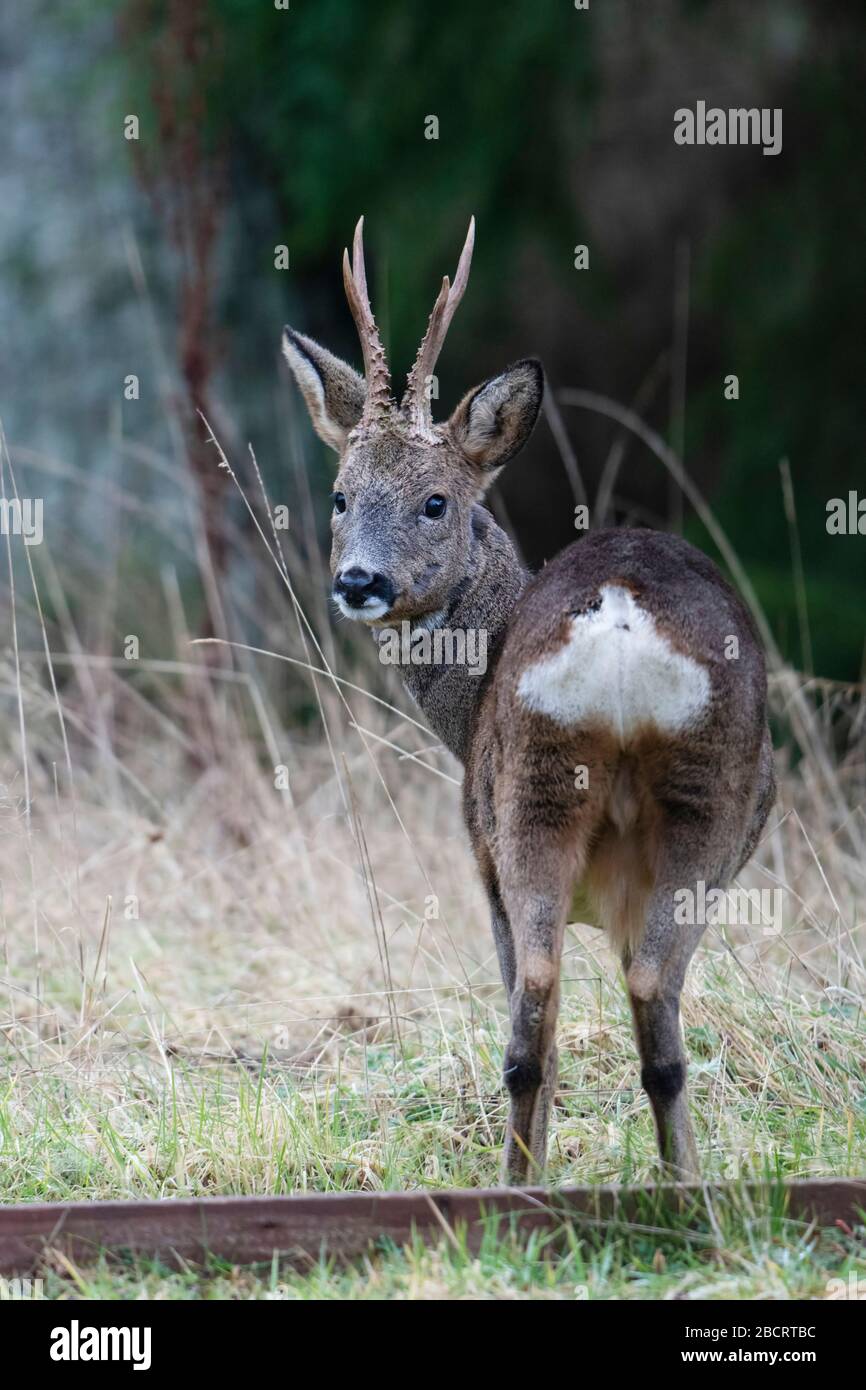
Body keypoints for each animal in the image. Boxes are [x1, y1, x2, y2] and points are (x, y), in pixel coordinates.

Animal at [282, 218, 775, 1185]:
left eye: (436, 501)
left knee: (552, 1006)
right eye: (340, 496)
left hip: (546, 799)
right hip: (636, 800)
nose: (358, 582)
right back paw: (660, 1185)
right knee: (606, 998)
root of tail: (618, 620)